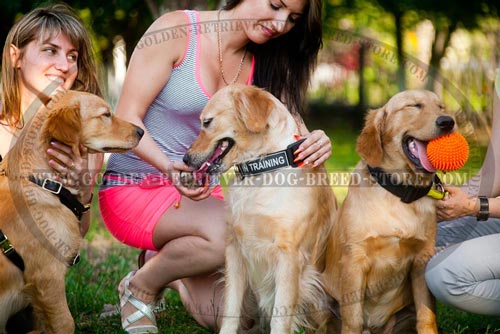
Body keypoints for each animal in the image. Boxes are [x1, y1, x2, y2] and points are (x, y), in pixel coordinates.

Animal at [182, 84, 338, 334]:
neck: (261, 169)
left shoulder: (289, 258)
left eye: (207, 122)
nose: (186, 159)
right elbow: (231, 309)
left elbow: (280, 319)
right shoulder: (235, 249)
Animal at [322, 89, 456, 334]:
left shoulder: (422, 259)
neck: (399, 193)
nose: (448, 122)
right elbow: (352, 319)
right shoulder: (354, 261)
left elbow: (427, 316)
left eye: (441, 107)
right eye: (414, 106)